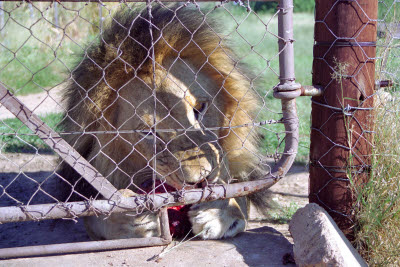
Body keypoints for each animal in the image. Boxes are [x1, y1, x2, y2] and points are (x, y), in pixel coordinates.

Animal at [59, 4, 268, 242]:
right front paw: (130, 218)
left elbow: (240, 192)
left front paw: (218, 211)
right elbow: (95, 217)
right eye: (149, 132)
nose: (200, 180)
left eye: (200, 109)